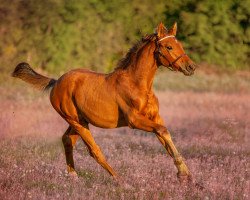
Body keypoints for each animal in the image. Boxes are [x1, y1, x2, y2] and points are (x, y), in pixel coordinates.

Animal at [12, 22, 195, 182]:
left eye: (180, 45)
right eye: (169, 47)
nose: (191, 67)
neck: (137, 85)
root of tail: (56, 82)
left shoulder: (155, 117)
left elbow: (165, 137)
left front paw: (185, 174)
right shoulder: (134, 121)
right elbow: (163, 131)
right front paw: (183, 173)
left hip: (79, 121)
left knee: (67, 140)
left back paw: (73, 177)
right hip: (76, 122)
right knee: (94, 150)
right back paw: (119, 180)